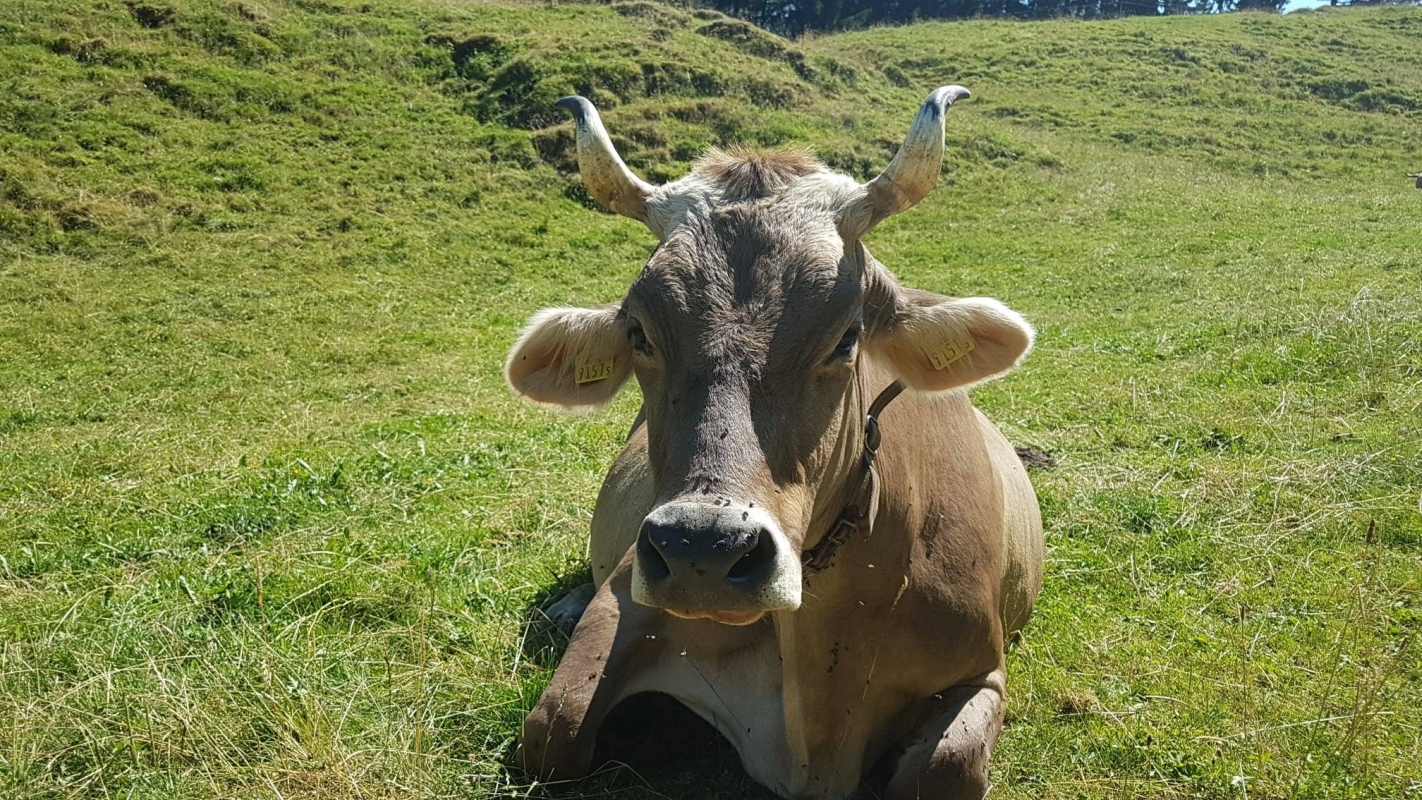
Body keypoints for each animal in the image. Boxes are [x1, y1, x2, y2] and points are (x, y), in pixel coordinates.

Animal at [505, 85, 1044, 800]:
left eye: (847, 337)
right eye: (640, 333)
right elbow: (553, 732)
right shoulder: (621, 601)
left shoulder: (981, 668)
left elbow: (946, 767)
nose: (700, 551)